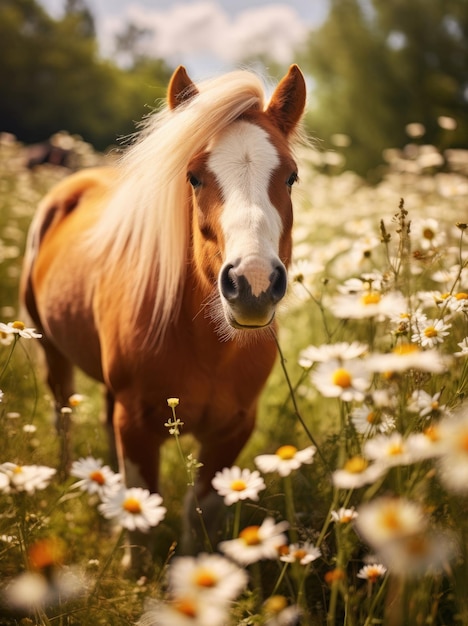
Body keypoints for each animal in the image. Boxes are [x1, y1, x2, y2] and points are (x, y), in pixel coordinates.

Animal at [21, 64, 308, 572]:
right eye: (193, 177)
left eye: (291, 176)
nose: (252, 283)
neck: (204, 345)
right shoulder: (137, 423)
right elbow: (142, 505)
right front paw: (135, 575)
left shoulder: (234, 429)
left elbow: (201, 510)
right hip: (51, 351)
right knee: (63, 418)